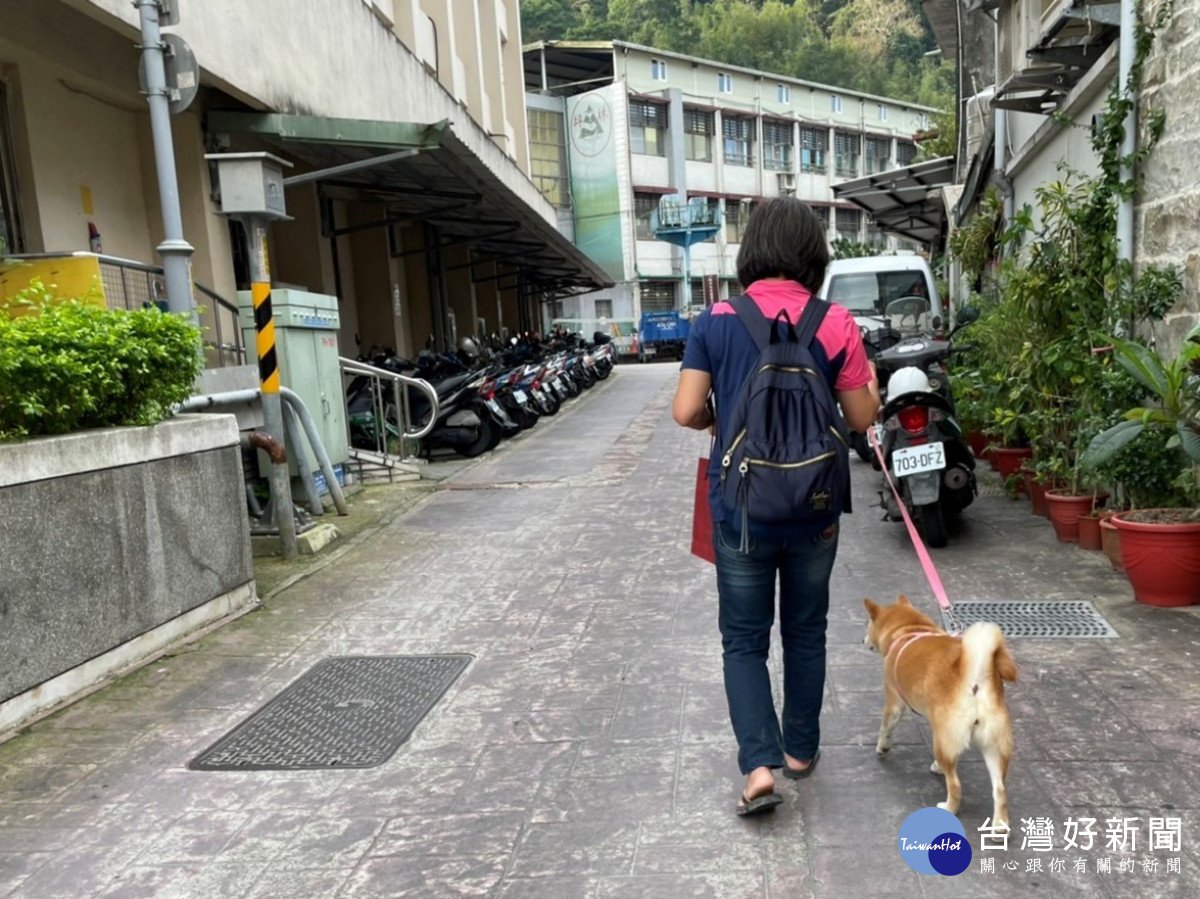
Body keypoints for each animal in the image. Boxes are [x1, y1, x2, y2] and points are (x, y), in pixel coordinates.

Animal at [859, 595, 1017, 825]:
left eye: (867, 625)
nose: (862, 641)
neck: (909, 630)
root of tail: (975, 680)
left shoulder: (894, 704)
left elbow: (886, 728)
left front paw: (882, 747)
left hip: (943, 742)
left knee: (956, 785)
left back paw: (949, 807)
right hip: (992, 746)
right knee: (1000, 790)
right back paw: (999, 826)